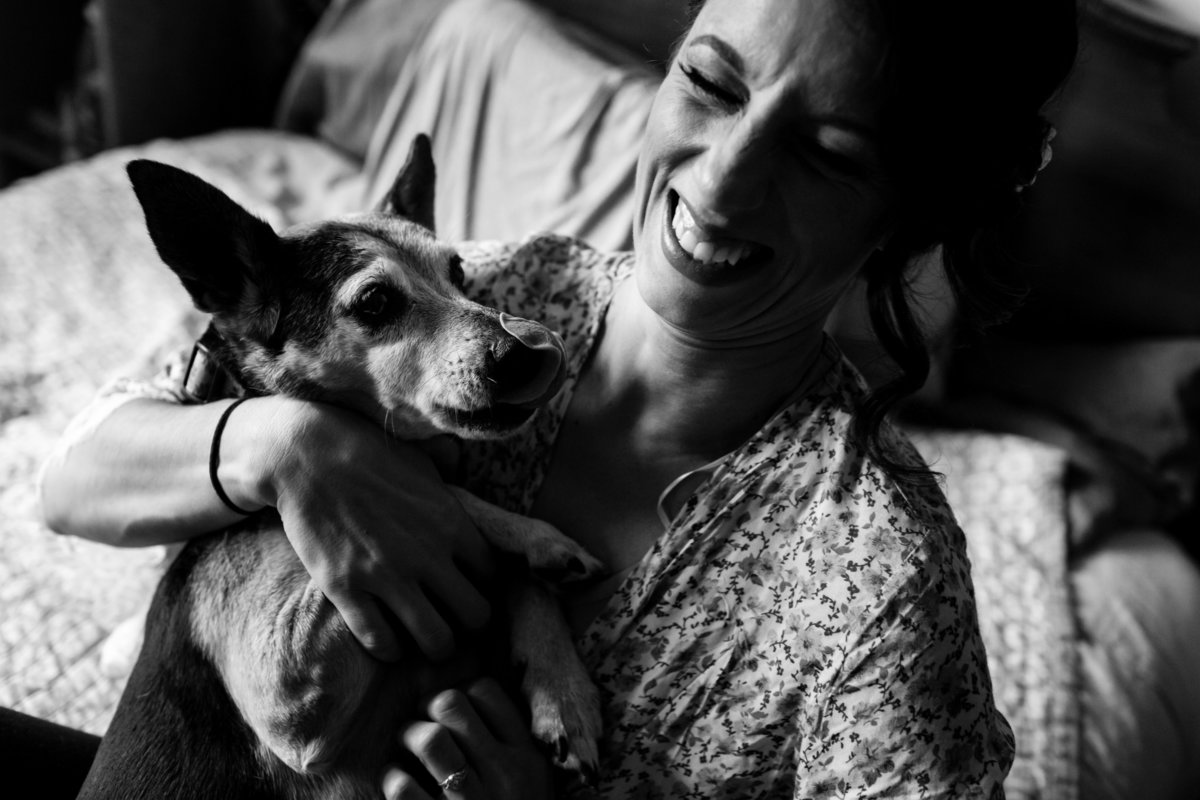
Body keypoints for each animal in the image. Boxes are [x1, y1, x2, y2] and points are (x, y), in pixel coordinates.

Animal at [75, 134, 600, 796]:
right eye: (375, 301)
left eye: (458, 272)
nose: (527, 352)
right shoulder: (288, 686)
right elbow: (432, 491)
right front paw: (537, 537)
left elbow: (517, 577)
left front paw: (566, 696)